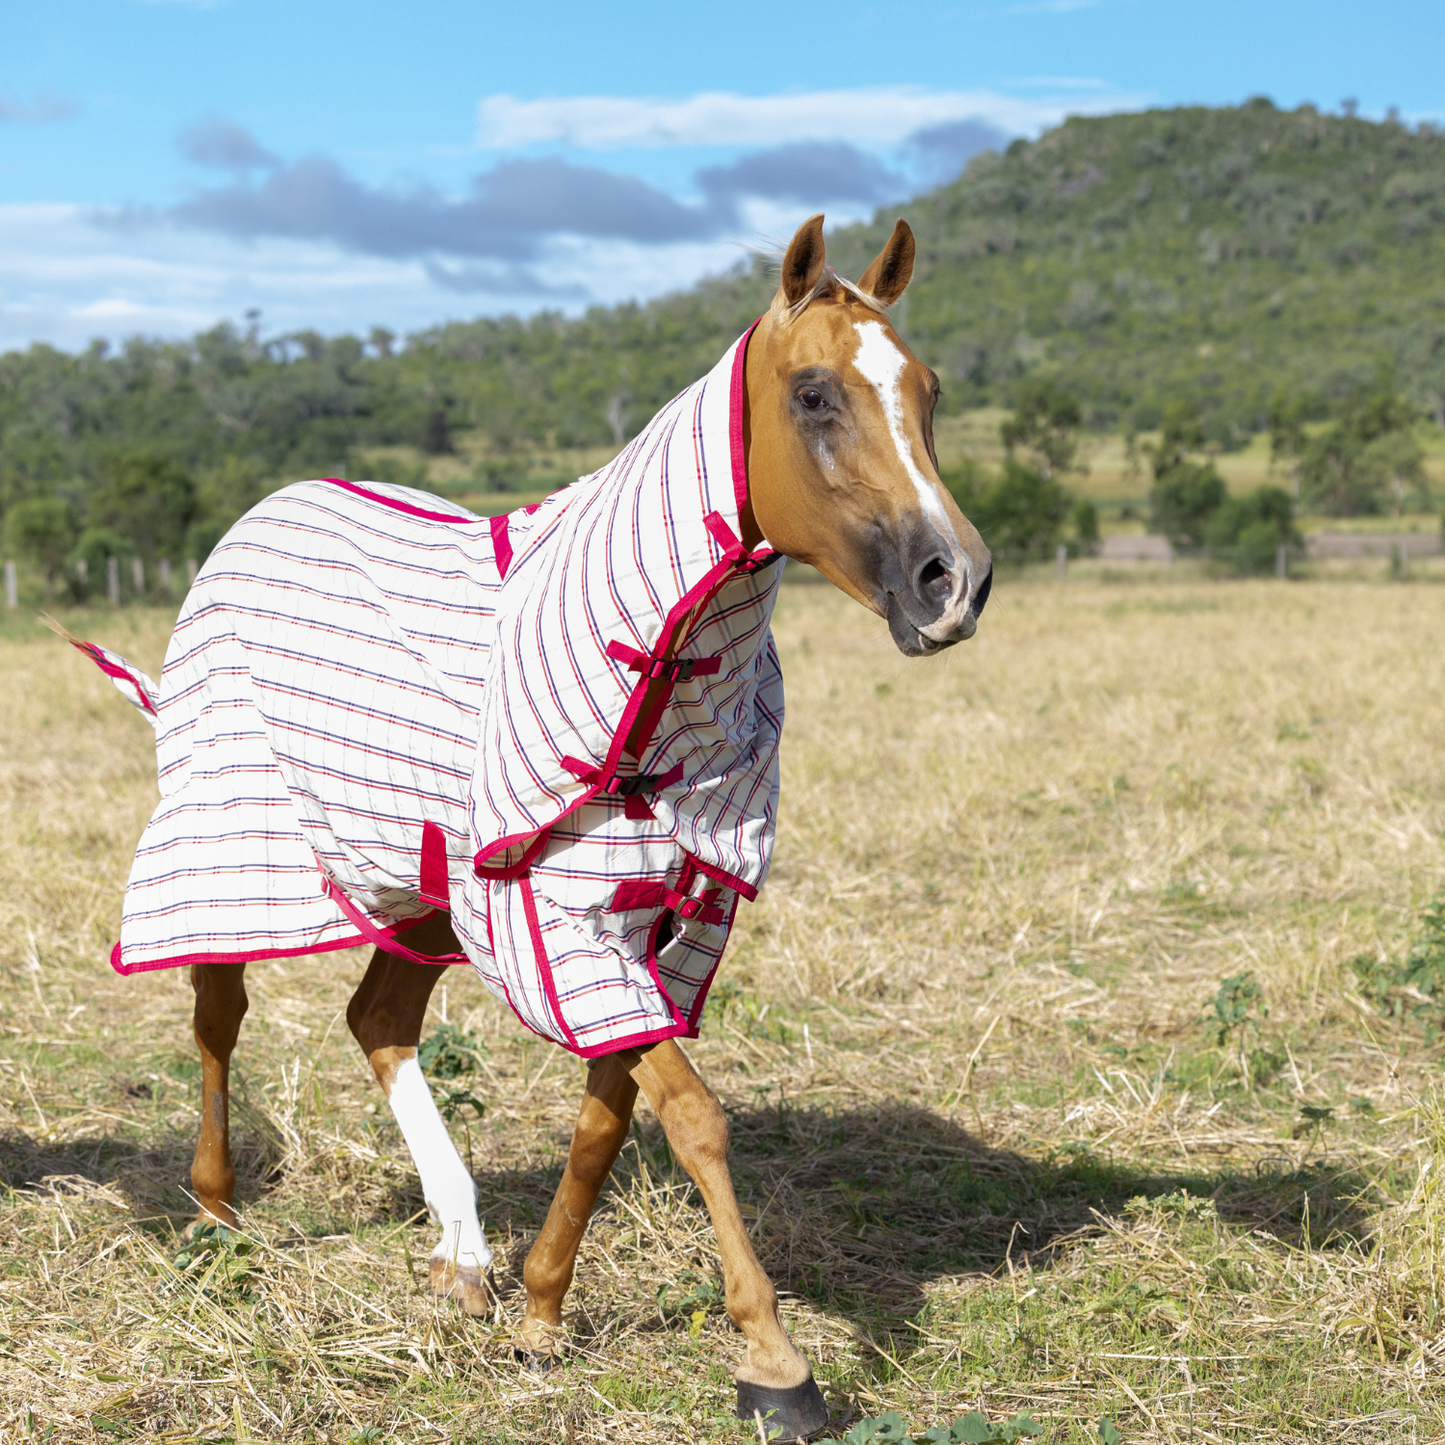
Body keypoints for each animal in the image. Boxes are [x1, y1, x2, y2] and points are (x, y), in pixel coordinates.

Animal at [67, 209, 994, 1439]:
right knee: (218, 1011)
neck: (660, 684)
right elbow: (693, 1116)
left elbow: (611, 1115)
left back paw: (461, 1255)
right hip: (233, 843)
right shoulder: (560, 921)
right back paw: (218, 1217)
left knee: (375, 1019)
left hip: (424, 886)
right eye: (811, 396)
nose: (953, 581)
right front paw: (775, 1361)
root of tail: (261, 513)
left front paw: (540, 1309)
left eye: (929, 391)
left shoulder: (663, 922)